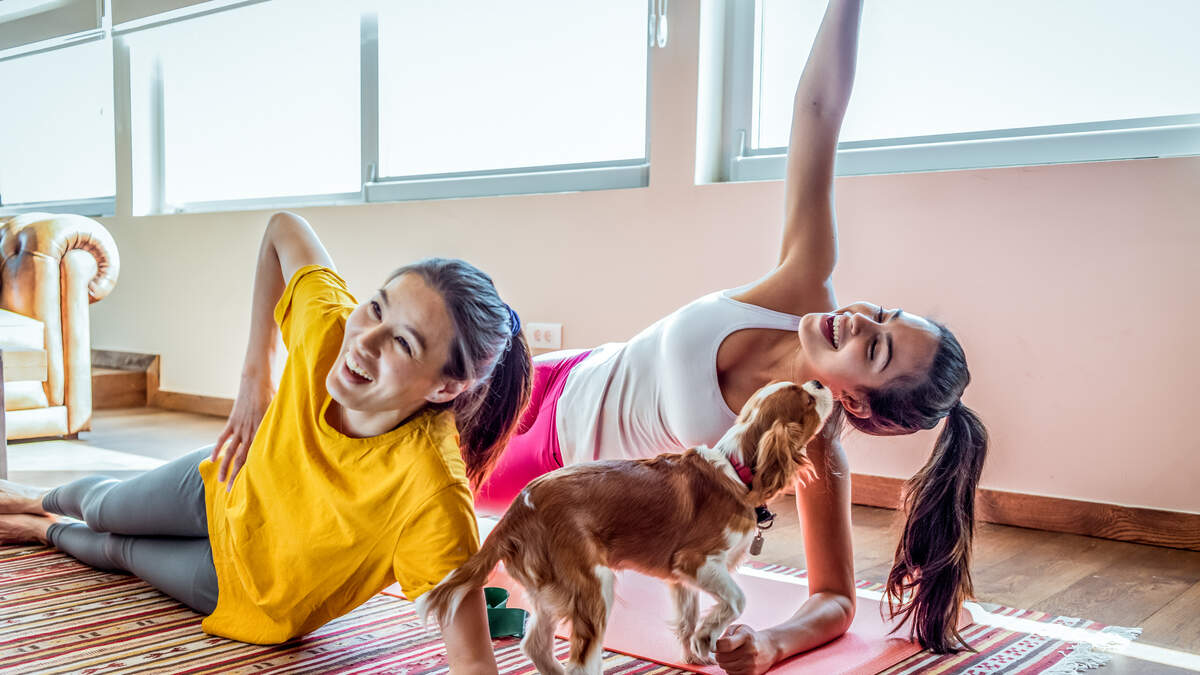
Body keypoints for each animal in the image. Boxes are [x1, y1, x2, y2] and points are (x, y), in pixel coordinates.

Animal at [418, 380, 834, 674]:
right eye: (806, 400)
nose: (819, 381)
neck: (737, 470)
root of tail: (517, 511)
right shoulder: (696, 561)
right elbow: (736, 599)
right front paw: (708, 635)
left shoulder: (682, 579)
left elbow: (687, 618)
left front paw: (695, 654)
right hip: (592, 584)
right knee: (580, 662)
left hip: (549, 589)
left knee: (535, 645)